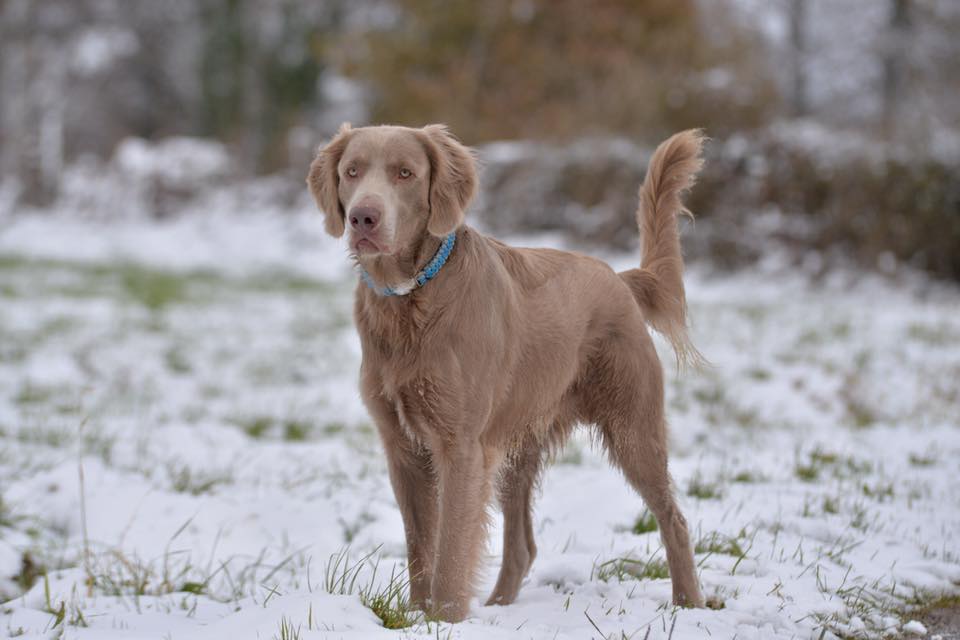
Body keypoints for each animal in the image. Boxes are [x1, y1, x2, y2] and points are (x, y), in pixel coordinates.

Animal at [308, 124, 704, 620]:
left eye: (405, 173)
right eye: (352, 172)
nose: (364, 217)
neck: (411, 299)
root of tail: (619, 278)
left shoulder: (460, 446)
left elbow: (451, 547)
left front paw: (445, 618)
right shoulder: (402, 448)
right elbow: (421, 545)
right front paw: (417, 616)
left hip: (633, 428)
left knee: (675, 518)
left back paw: (689, 603)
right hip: (519, 447)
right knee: (522, 547)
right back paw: (499, 606)